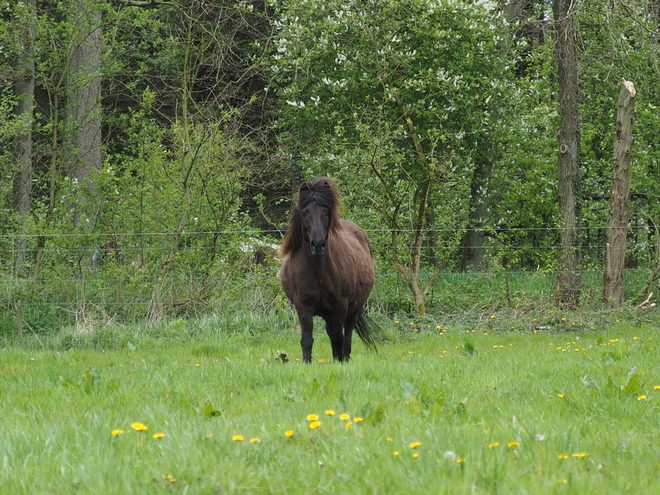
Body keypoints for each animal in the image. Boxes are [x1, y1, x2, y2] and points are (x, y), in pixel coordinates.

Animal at [278, 178, 378, 364]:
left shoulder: (340, 305)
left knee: (346, 334)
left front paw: (340, 362)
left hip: (353, 309)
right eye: (305, 212)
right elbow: (307, 339)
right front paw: (307, 362)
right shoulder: (302, 305)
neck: (317, 269)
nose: (317, 244)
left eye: (325, 211)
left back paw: (344, 357)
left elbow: (338, 337)